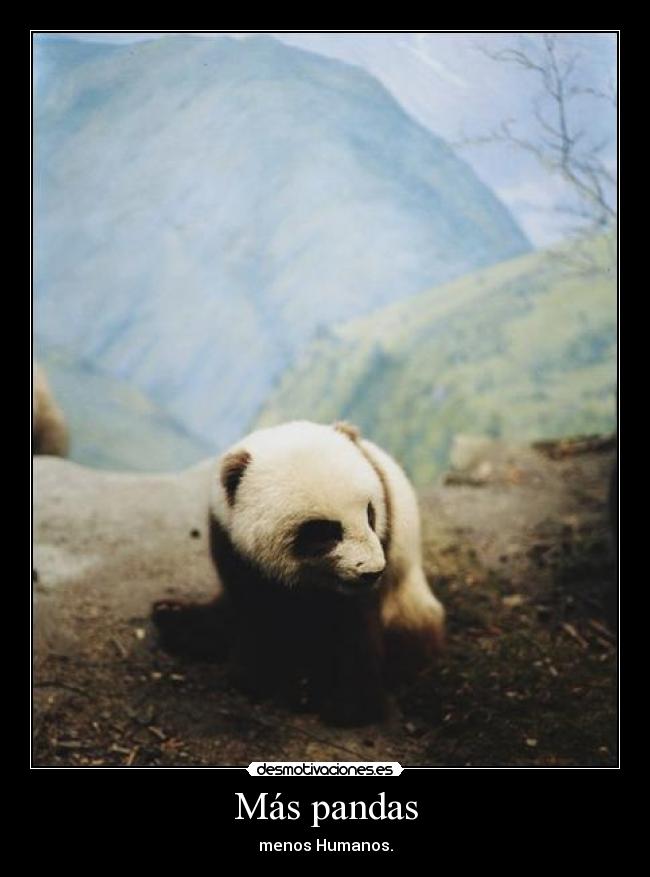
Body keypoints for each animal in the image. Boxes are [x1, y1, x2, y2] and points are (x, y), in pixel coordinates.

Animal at [153, 420, 445, 726]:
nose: (372, 571)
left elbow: (354, 624)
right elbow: (253, 610)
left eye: (370, 513)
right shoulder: (233, 546)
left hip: (405, 595)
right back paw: (173, 618)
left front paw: (350, 705)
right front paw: (254, 676)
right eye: (324, 531)